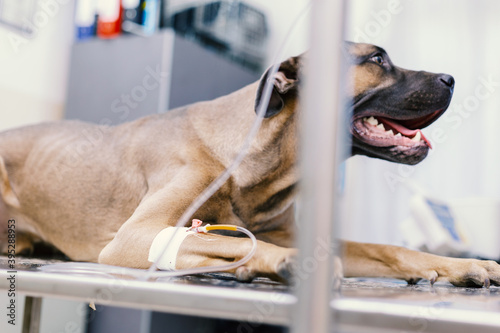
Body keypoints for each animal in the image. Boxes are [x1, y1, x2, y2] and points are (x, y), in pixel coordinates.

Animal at [0, 41, 500, 286]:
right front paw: (278, 262)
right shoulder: (133, 236)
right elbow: (232, 241)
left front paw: (457, 265)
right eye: (377, 59)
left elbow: (387, 248)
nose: (451, 79)